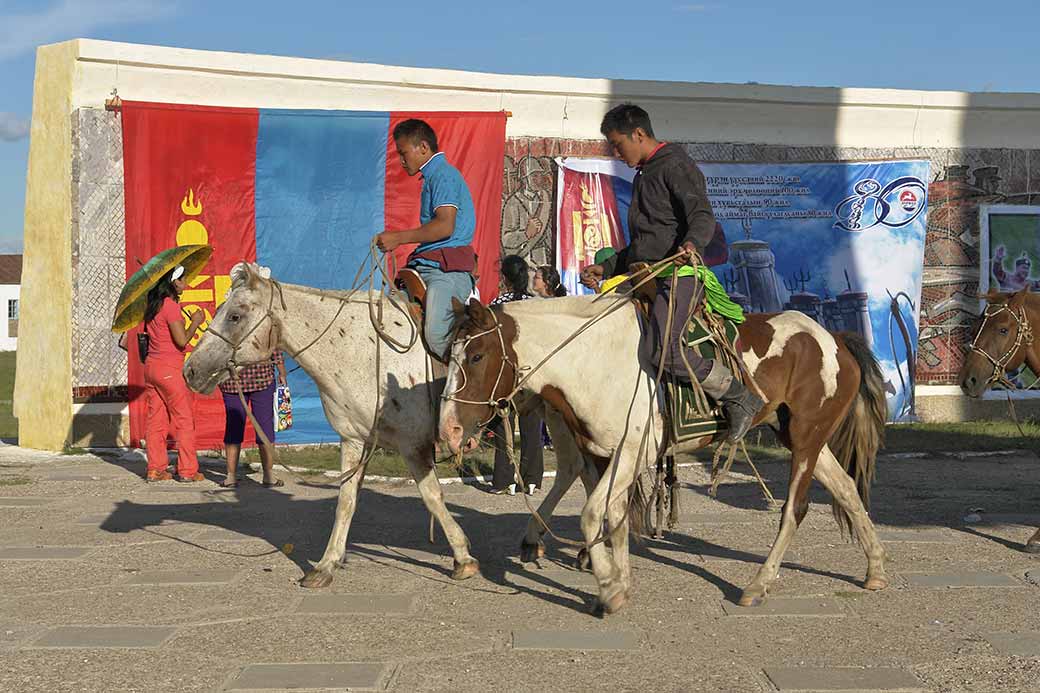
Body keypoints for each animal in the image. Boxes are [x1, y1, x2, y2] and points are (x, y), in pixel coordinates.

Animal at [185, 262, 594, 586]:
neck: (361, 351)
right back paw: (558, 546)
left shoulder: (413, 446)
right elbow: (346, 501)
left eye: (235, 315)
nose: (191, 370)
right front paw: (326, 565)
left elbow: (432, 497)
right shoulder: (354, 441)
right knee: (578, 469)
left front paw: (463, 558)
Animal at [438, 293, 886, 611]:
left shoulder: (630, 453)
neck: (591, 360)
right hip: (802, 437)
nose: (450, 430)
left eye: (476, 356)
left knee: (795, 508)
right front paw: (618, 579)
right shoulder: (603, 454)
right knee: (847, 490)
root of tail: (833, 340)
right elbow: (613, 516)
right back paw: (875, 569)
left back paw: (758, 584)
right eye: (449, 356)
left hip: (808, 438)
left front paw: (608, 588)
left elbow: (591, 514)